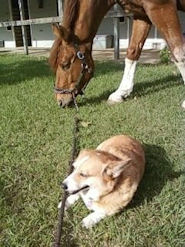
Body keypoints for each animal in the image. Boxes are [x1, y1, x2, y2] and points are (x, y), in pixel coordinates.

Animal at [49, 0, 185, 108]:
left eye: (65, 64)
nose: (60, 101)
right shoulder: (142, 13)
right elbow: (132, 51)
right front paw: (121, 93)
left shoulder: (161, 7)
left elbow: (178, 52)